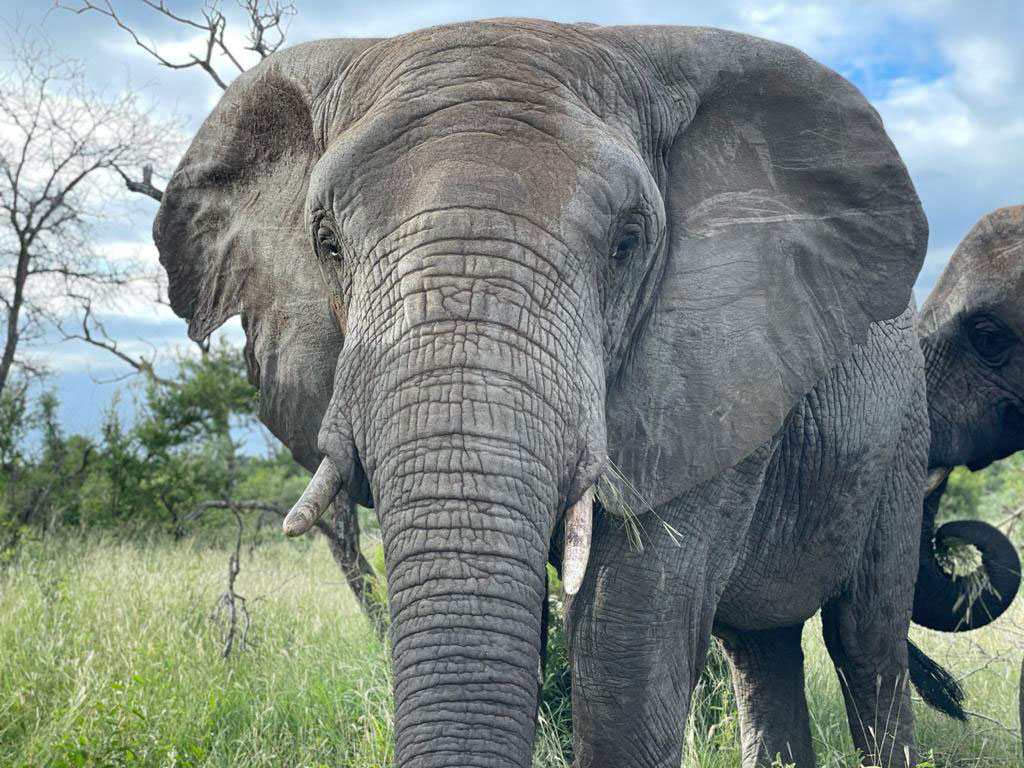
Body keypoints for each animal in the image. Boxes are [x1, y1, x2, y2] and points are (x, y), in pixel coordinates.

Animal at [153, 19, 943, 768]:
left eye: (627, 244)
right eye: (328, 245)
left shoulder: (714, 374)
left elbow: (627, 638)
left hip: (904, 436)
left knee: (866, 639)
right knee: (759, 648)